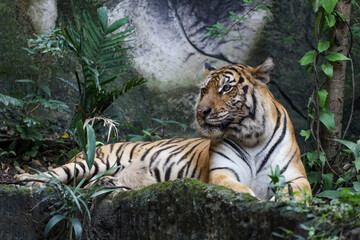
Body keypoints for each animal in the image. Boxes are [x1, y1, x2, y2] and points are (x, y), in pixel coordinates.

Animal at [15, 57, 310, 200]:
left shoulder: (296, 177)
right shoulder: (222, 173)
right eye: (203, 91)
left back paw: (110, 184)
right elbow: (238, 189)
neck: (251, 138)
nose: (200, 112)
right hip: (90, 162)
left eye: (226, 88)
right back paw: (25, 180)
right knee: (52, 174)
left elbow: (298, 194)